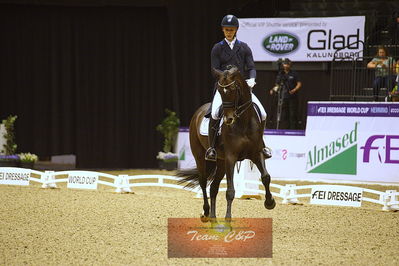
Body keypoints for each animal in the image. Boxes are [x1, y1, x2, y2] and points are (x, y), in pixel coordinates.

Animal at [180, 66, 276, 220]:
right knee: (203, 182)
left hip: (220, 162)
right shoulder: (231, 157)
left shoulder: (256, 153)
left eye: (232, 89)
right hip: (200, 157)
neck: (243, 123)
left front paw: (270, 202)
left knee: (213, 187)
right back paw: (206, 212)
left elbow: (266, 177)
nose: (228, 119)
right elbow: (230, 190)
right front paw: (228, 218)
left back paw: (213, 217)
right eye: (220, 91)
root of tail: (198, 112)